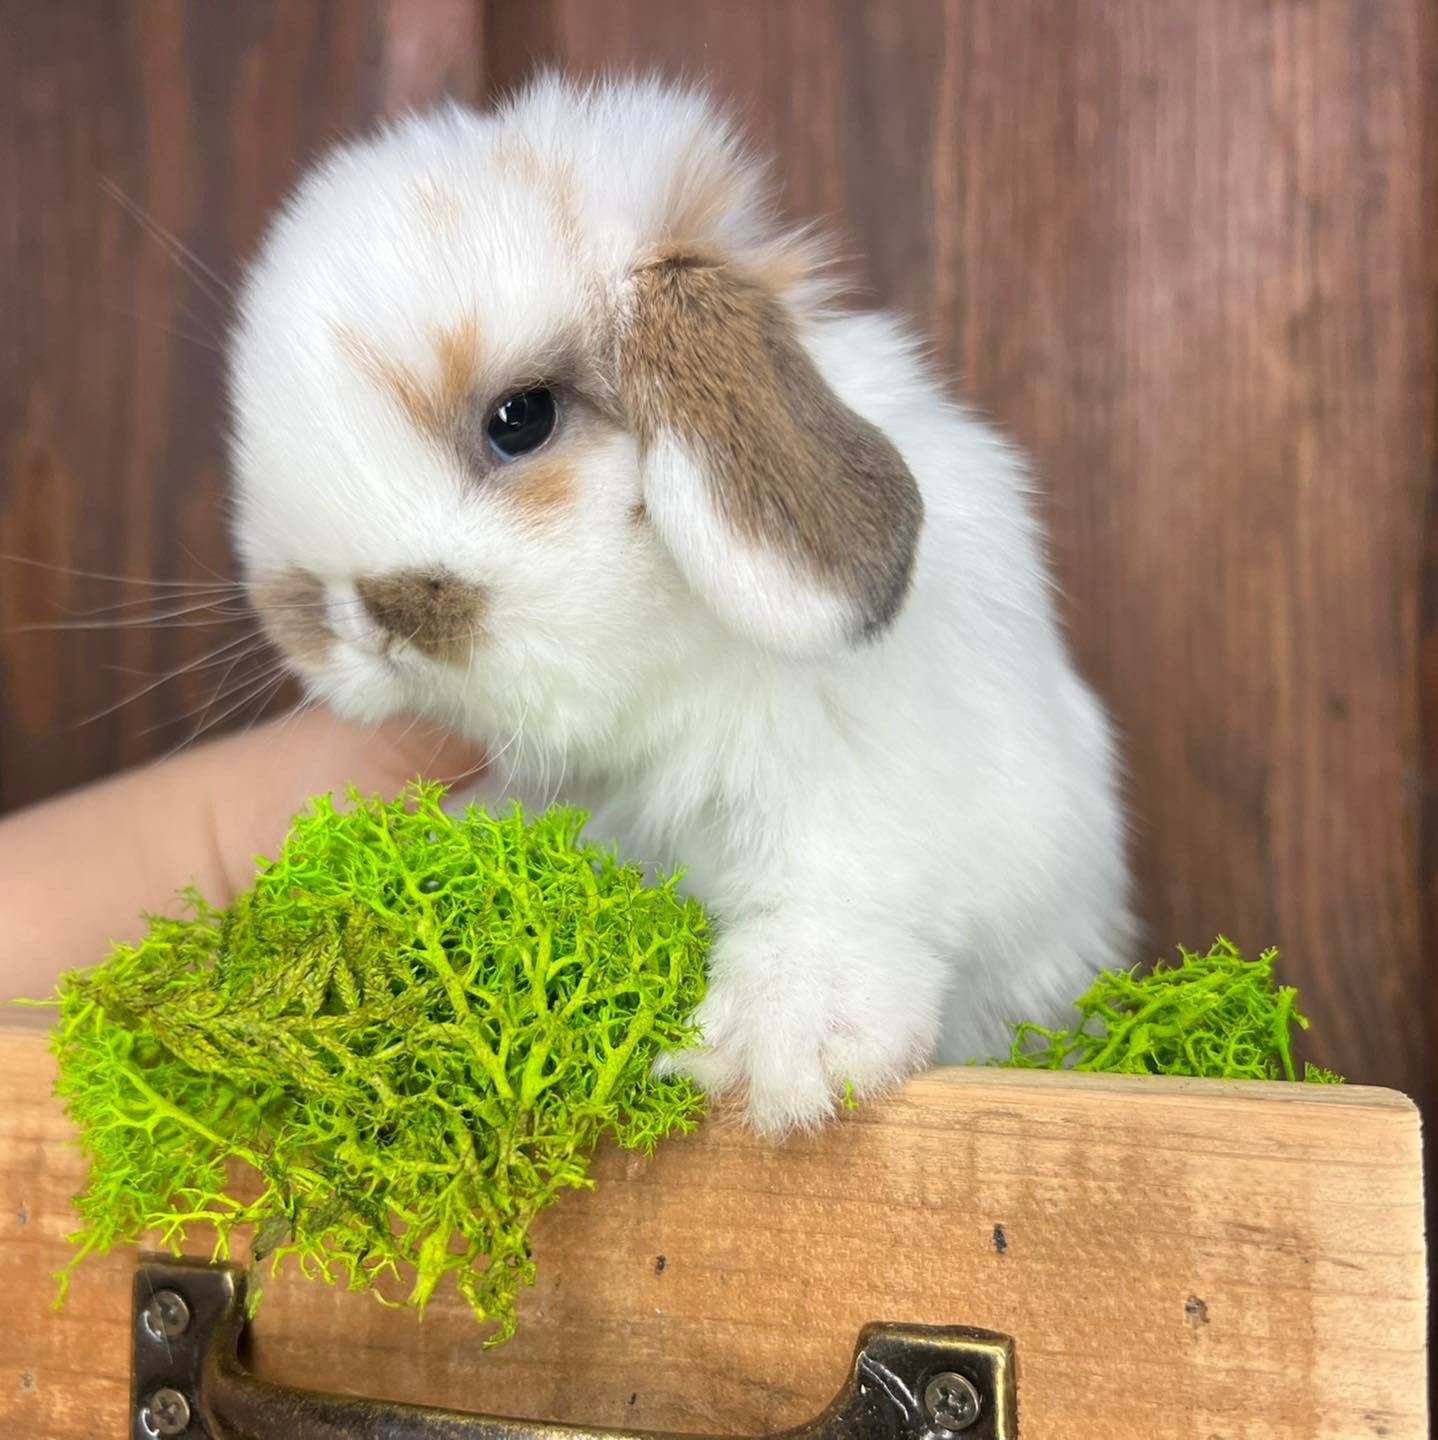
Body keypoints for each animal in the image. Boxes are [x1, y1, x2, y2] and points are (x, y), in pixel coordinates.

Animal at [233, 75, 1134, 1134]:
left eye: (521, 418)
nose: (373, 618)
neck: (666, 676)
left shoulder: (864, 787)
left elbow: (833, 893)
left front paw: (783, 1049)